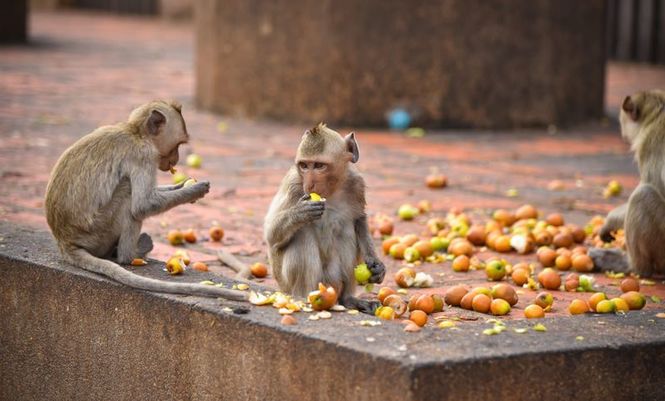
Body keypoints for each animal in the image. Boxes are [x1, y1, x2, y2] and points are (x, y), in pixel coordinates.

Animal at [44, 99, 246, 300]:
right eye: (178, 144)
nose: (176, 159)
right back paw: (129, 254)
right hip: (97, 233)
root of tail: (64, 241)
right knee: (127, 191)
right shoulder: (144, 155)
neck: (136, 132)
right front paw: (194, 191)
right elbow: (143, 206)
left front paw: (181, 186)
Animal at [260, 122, 384, 312]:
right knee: (302, 235)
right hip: (290, 284)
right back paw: (306, 299)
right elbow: (271, 235)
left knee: (346, 229)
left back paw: (348, 299)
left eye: (319, 165)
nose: (310, 185)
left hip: (333, 282)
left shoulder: (356, 183)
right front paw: (300, 213)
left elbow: (359, 220)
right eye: (304, 165)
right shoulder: (293, 184)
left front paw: (376, 265)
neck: (331, 191)